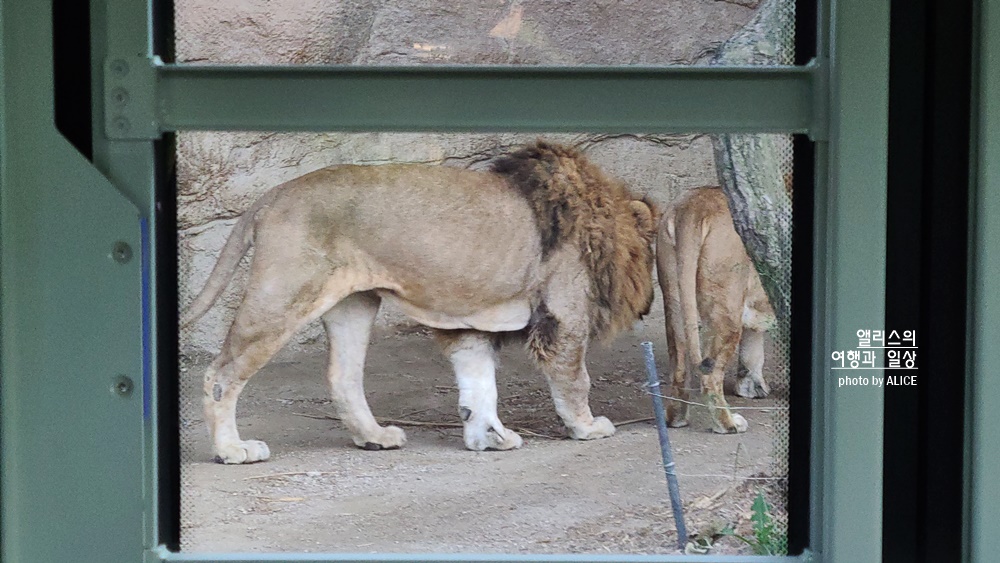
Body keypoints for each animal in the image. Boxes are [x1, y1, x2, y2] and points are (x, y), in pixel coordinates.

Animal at [184, 141, 660, 462]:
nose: (650, 305)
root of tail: (270, 197)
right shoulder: (564, 315)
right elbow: (575, 379)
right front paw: (587, 427)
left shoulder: (469, 322)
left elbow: (478, 382)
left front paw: (487, 438)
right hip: (283, 295)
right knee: (220, 374)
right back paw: (232, 449)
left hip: (353, 303)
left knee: (343, 376)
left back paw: (374, 437)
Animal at [660, 187, 776, 434]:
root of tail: (694, 206)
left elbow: (752, 351)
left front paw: (750, 387)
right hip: (726, 308)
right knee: (711, 377)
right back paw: (729, 424)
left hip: (674, 299)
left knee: (680, 369)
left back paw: (677, 419)